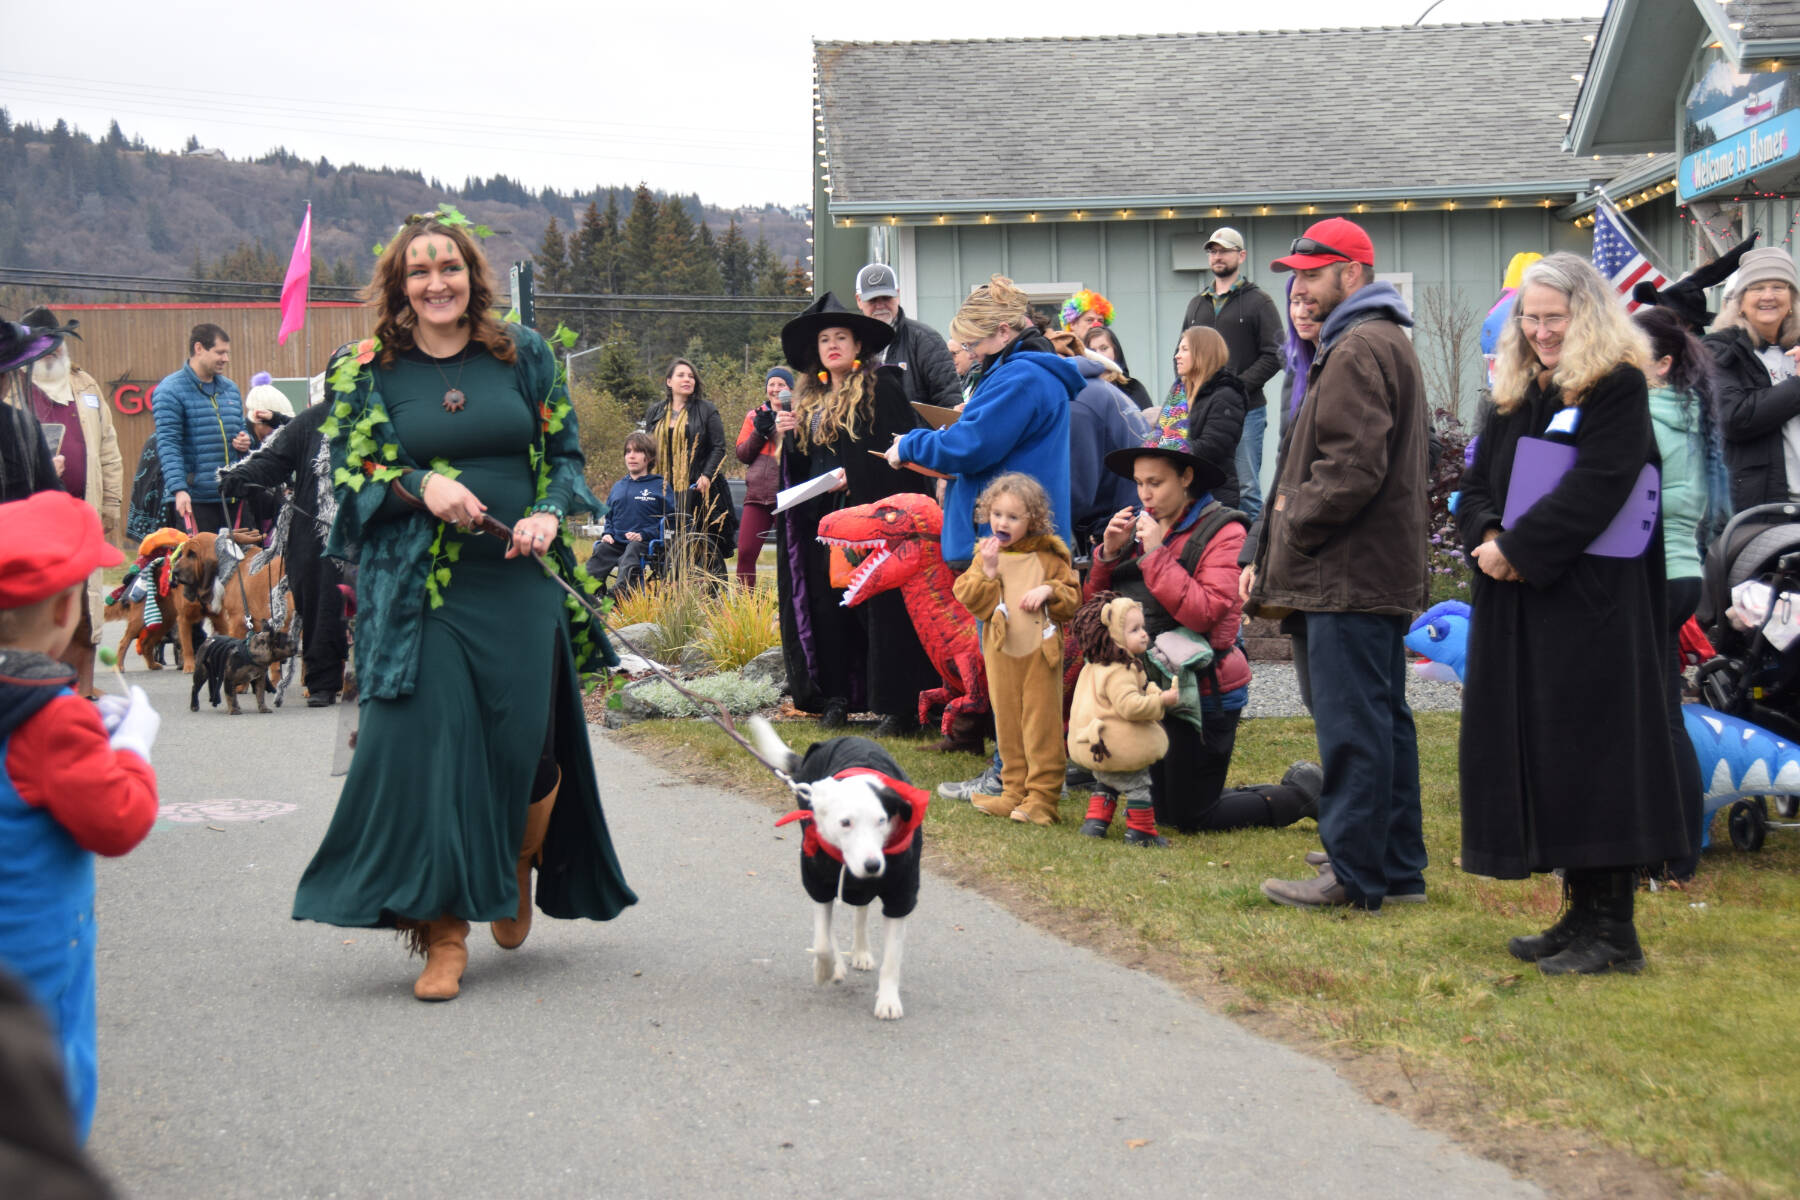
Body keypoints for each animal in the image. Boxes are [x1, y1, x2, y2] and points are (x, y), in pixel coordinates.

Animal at [752, 719, 936, 1021]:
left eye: (882, 821)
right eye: (845, 822)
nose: (873, 865)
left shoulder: (900, 893)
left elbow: (892, 960)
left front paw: (888, 1000)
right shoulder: (818, 881)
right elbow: (823, 941)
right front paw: (825, 969)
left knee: (861, 909)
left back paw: (860, 951)